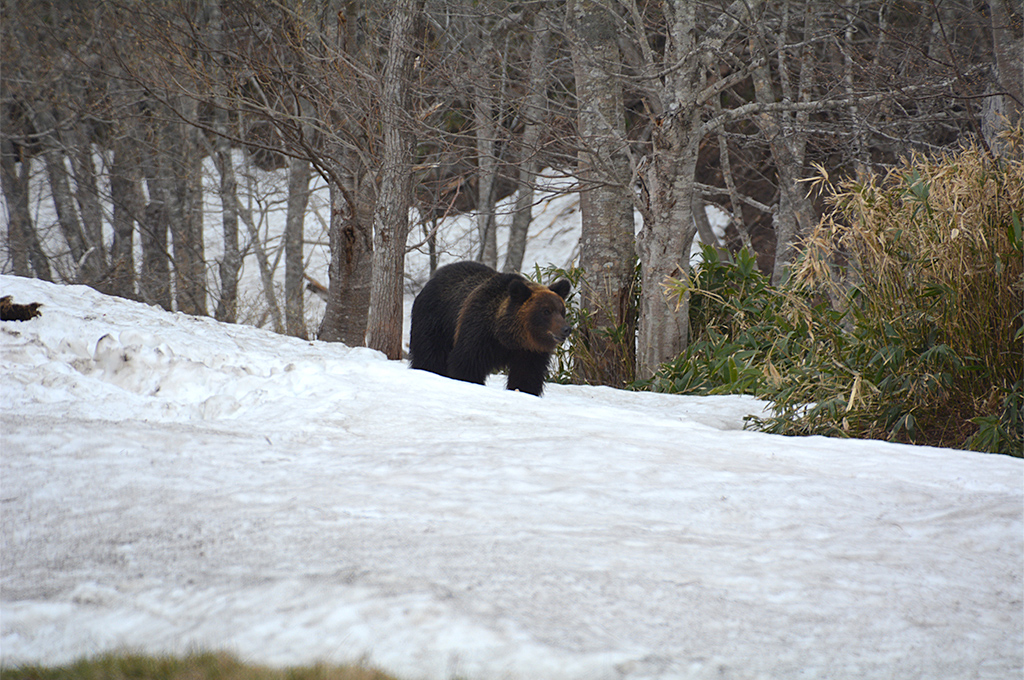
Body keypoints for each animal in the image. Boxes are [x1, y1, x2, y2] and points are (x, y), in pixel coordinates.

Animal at [409, 261, 573, 399]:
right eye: (546, 311)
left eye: (561, 310)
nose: (566, 329)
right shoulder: (478, 334)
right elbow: (466, 364)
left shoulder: (530, 352)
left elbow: (527, 377)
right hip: (435, 323)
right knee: (429, 356)